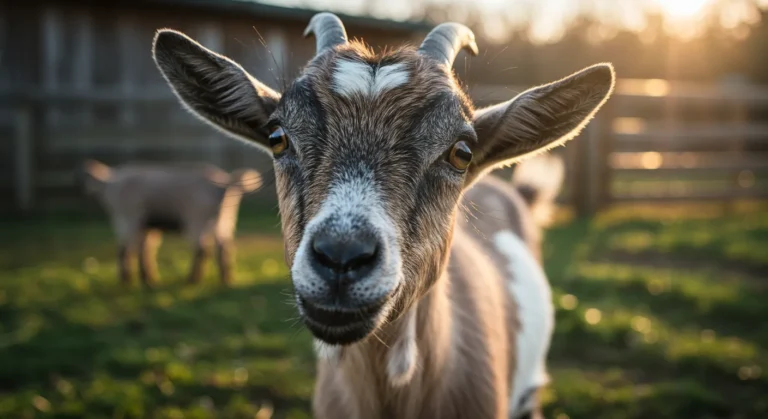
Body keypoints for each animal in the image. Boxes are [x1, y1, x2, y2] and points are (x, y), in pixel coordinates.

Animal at [81, 159, 260, 288]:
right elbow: (145, 250)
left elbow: (127, 249)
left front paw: (129, 280)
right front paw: (148, 280)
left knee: (201, 248)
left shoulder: (128, 216)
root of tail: (227, 182)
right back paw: (227, 280)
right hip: (225, 219)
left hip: (196, 216)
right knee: (225, 246)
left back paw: (192, 280)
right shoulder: (147, 225)